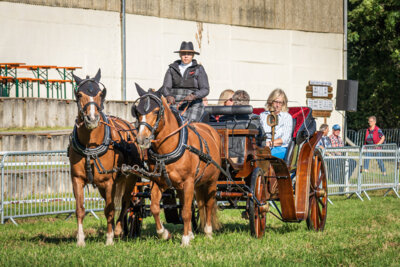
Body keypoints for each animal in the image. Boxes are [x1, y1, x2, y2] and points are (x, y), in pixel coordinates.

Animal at [69, 69, 141, 247]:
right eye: (79, 94)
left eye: (101, 94)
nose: (92, 119)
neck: (91, 146)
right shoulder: (77, 179)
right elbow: (80, 209)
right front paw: (80, 240)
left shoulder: (109, 181)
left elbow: (110, 209)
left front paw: (109, 238)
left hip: (130, 178)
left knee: (126, 201)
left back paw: (119, 230)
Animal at [133, 85, 222, 247]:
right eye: (137, 111)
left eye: (156, 111)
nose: (142, 139)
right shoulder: (158, 182)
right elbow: (155, 208)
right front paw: (164, 233)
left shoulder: (189, 182)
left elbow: (186, 212)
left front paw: (185, 240)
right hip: (187, 186)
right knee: (193, 205)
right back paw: (192, 233)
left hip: (211, 181)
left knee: (208, 204)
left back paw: (208, 232)